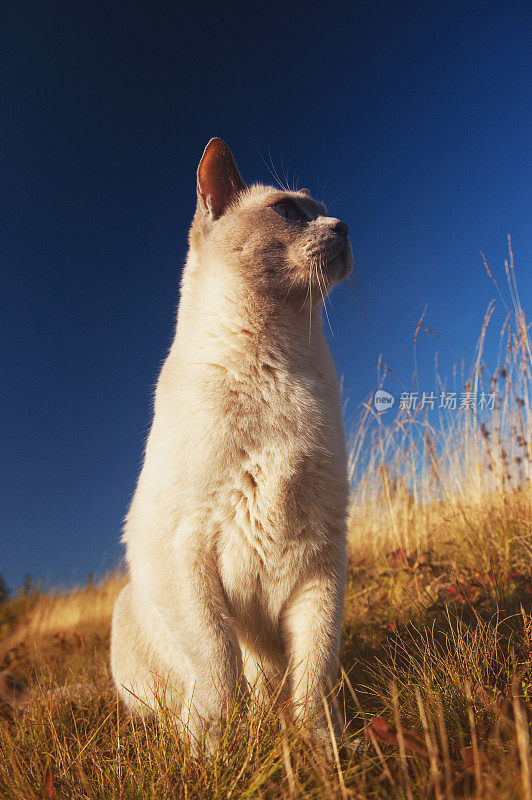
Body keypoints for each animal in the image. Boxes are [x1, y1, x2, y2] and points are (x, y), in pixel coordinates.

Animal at [109, 134, 354, 752]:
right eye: (289, 212)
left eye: (322, 213)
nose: (344, 226)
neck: (282, 364)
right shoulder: (183, 551)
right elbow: (217, 661)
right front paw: (211, 754)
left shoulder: (323, 557)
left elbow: (313, 673)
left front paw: (324, 752)